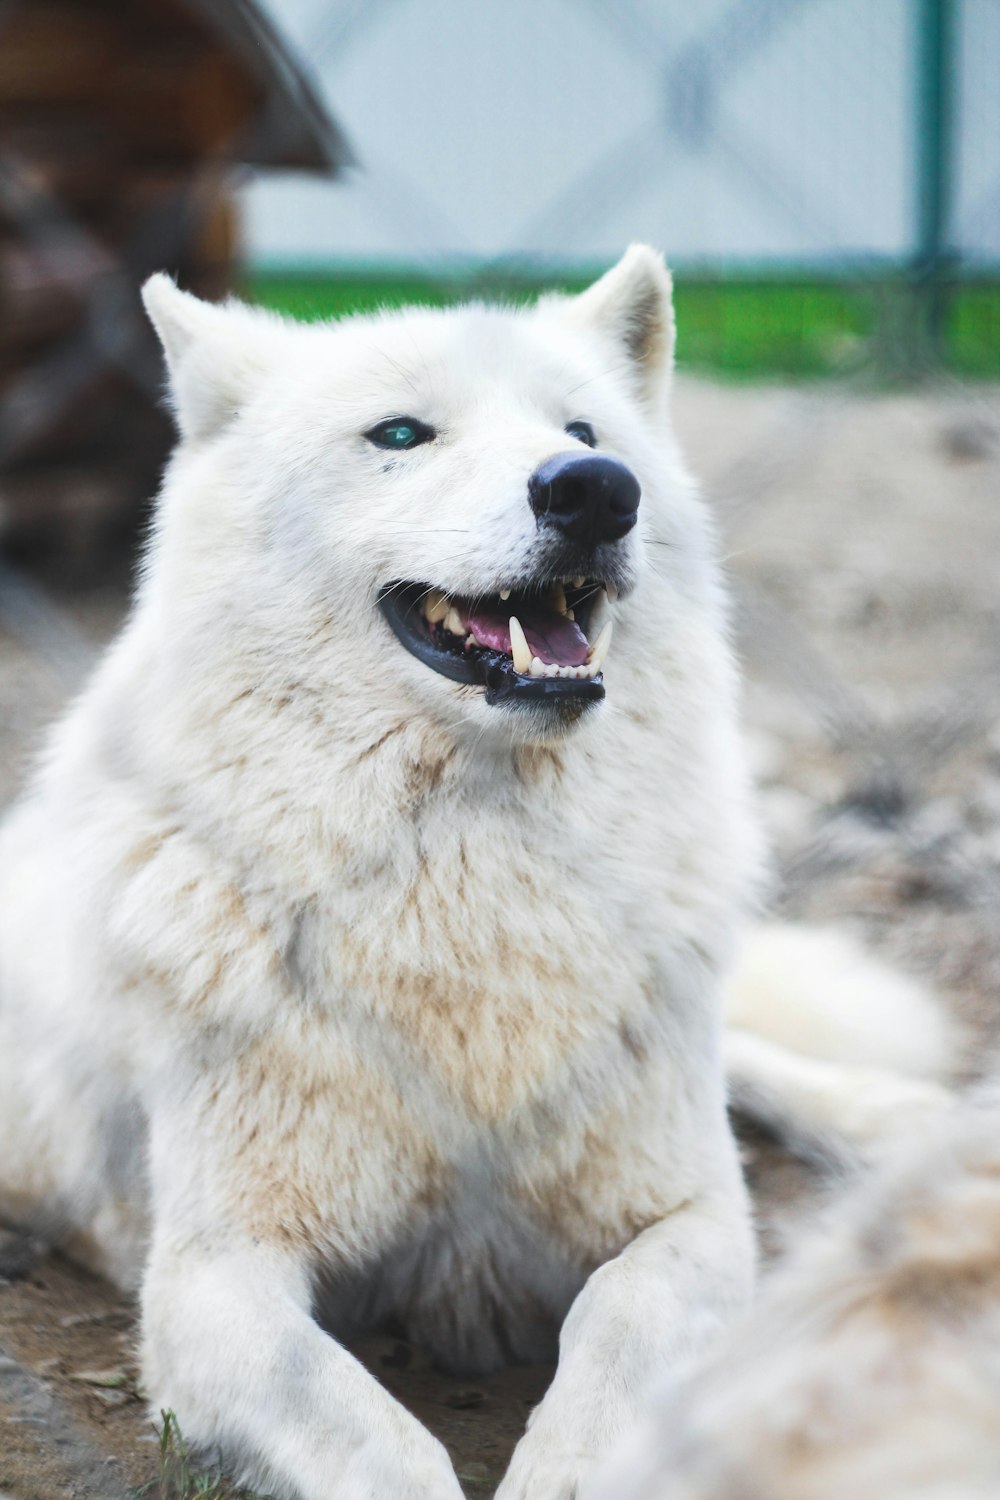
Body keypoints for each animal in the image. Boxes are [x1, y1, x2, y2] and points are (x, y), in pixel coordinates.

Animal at [0, 249, 953, 1500]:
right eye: (401, 434)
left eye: (582, 429)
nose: (594, 490)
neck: (471, 877)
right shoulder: (213, 1274)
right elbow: (379, 1437)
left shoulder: (692, 1220)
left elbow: (618, 1321)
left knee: (750, 1058)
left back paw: (908, 1120)